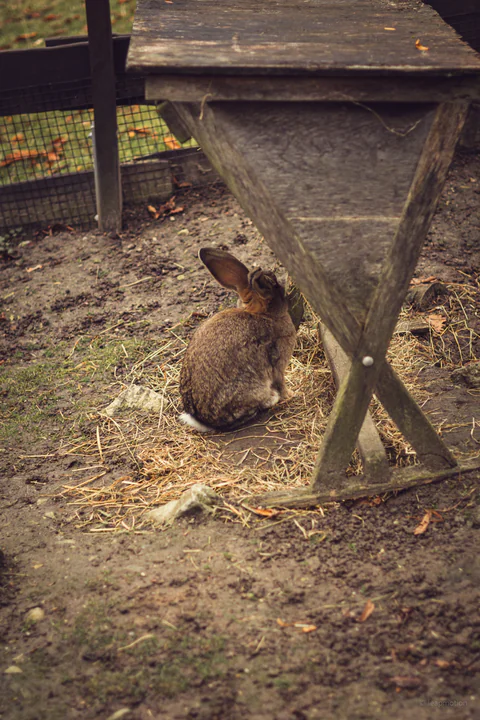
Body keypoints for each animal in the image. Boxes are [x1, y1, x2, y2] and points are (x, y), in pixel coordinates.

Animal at [179, 247, 297, 432]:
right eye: (274, 285)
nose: (287, 292)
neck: (263, 314)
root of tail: (203, 420)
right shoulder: (277, 364)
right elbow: (281, 382)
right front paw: (291, 394)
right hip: (249, 389)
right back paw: (272, 398)